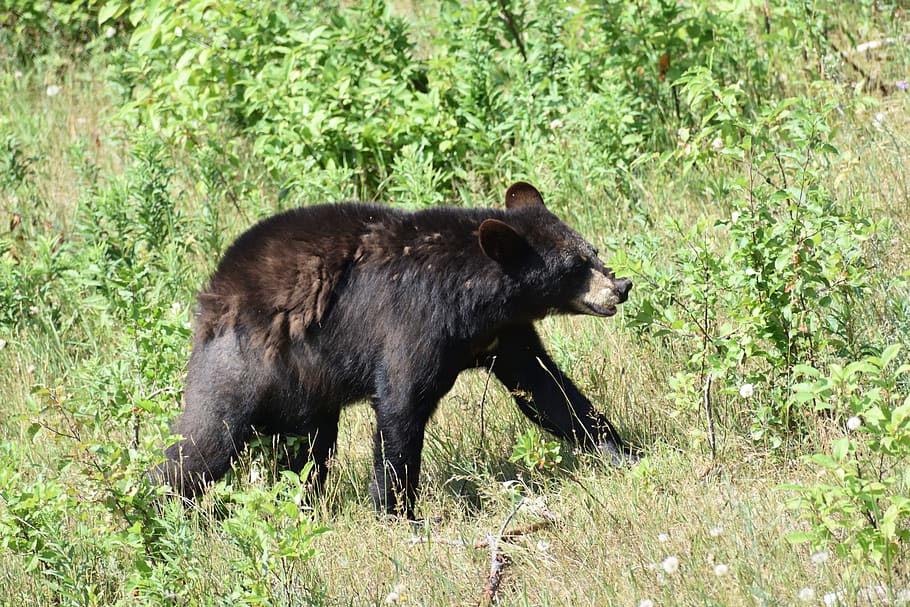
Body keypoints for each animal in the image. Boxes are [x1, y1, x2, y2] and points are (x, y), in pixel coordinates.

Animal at [153, 182, 636, 516]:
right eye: (573, 266)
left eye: (592, 251)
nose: (622, 286)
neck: (475, 295)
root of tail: (212, 293)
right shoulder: (414, 321)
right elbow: (402, 405)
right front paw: (398, 512)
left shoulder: (504, 333)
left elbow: (546, 390)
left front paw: (623, 453)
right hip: (244, 365)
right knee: (203, 442)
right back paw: (159, 509)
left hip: (307, 388)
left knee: (309, 449)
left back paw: (304, 505)